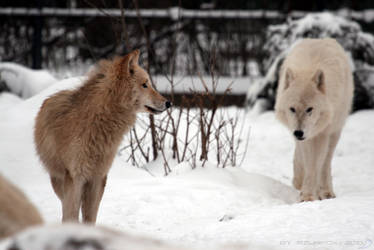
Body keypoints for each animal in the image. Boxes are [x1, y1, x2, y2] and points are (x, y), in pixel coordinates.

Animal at [33, 50, 171, 223]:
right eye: (145, 84)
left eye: (149, 84)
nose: (169, 103)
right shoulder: (75, 178)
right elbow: (71, 214)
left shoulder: (98, 178)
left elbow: (90, 218)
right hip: (58, 180)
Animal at [274, 39, 354, 203]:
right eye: (292, 109)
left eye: (309, 109)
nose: (298, 133)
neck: (307, 68)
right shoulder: (304, 135)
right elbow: (304, 159)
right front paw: (301, 184)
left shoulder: (320, 134)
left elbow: (315, 166)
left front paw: (308, 196)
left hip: (334, 132)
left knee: (325, 163)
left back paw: (326, 191)